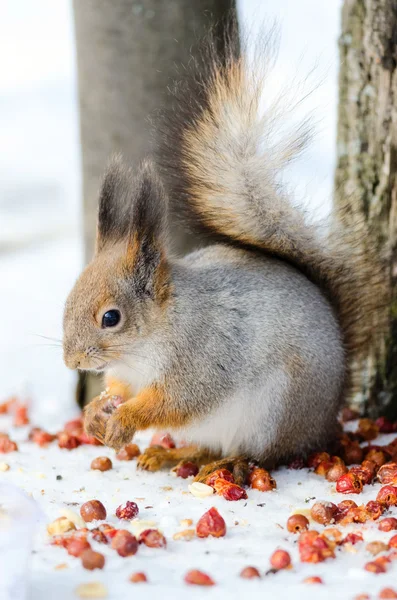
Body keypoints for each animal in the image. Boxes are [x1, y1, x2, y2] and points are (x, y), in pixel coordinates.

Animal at [62, 27, 384, 482]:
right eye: (68, 299)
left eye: (111, 318)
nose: (71, 361)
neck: (156, 333)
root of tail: (325, 419)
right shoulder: (128, 374)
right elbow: (121, 389)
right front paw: (95, 410)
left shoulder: (204, 358)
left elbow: (174, 401)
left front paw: (125, 419)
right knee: (205, 448)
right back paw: (175, 455)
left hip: (272, 413)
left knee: (261, 455)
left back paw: (230, 463)